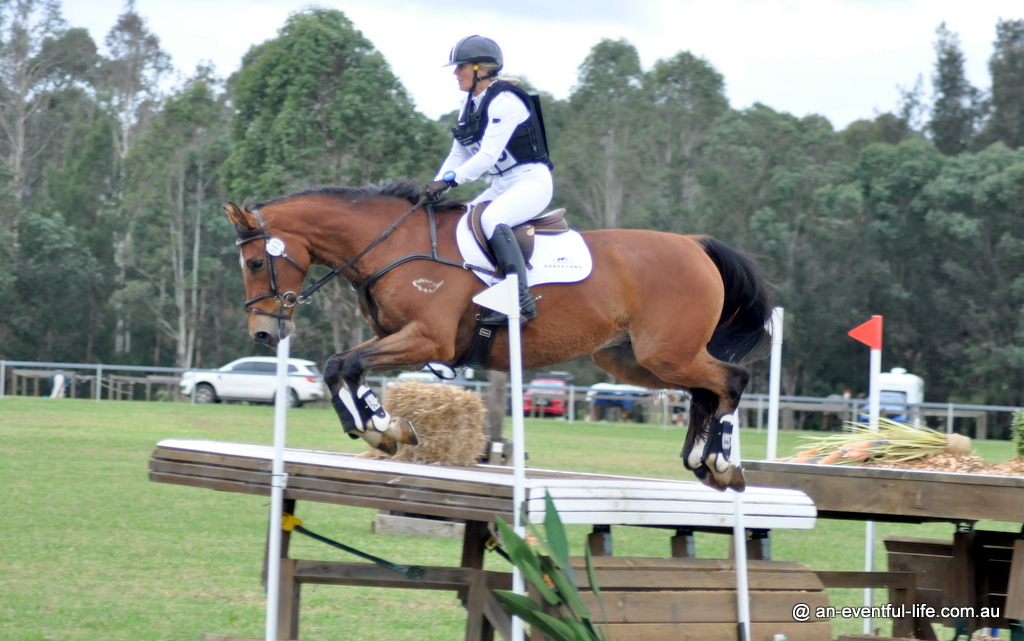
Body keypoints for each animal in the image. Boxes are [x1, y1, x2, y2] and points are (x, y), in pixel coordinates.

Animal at [225, 179, 772, 491]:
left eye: (254, 263)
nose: (263, 332)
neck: (392, 246)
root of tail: (695, 245)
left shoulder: (428, 340)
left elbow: (348, 364)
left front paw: (380, 427)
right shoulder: (400, 340)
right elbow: (341, 366)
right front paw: (383, 429)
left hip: (666, 354)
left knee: (731, 380)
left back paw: (720, 462)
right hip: (632, 360)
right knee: (705, 390)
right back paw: (703, 461)